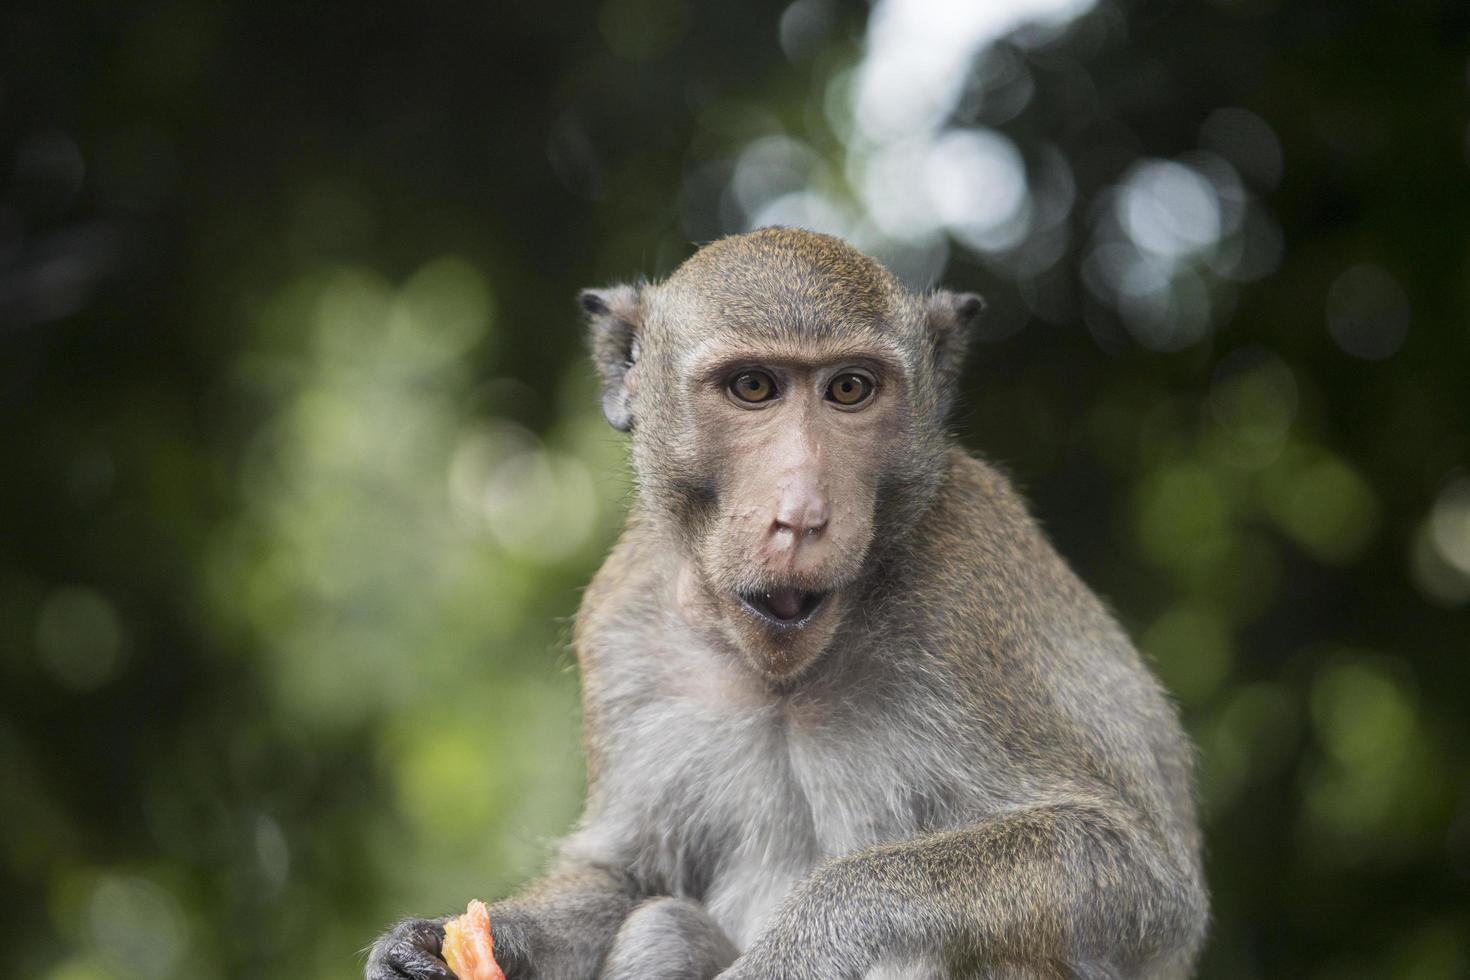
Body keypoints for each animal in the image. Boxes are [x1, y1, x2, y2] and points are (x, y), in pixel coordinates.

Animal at [367, 227, 1205, 980]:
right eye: (754, 388)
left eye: (850, 389)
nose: (801, 514)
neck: (784, 679)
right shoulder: (621, 624)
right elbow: (629, 875)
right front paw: (446, 943)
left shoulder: (972, 597)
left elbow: (1135, 871)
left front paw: (810, 936)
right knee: (662, 925)